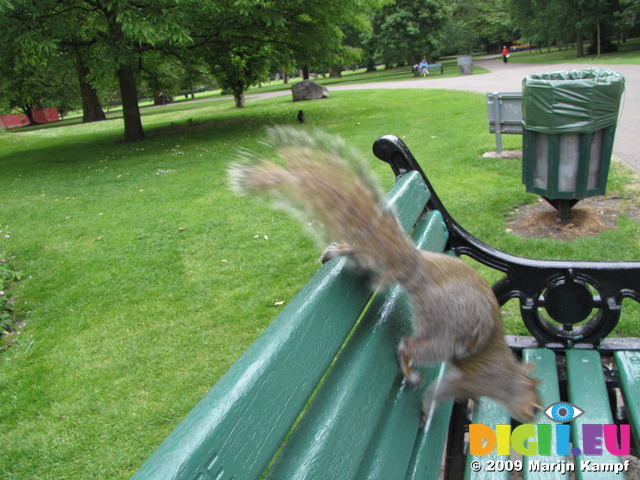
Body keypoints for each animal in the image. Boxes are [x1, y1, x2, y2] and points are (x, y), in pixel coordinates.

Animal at [229, 126, 540, 424]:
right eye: (535, 406)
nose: (535, 417)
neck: (507, 377)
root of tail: (421, 268)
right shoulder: (476, 379)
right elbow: (442, 391)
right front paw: (427, 411)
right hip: (444, 333)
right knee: (407, 347)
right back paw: (411, 373)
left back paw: (340, 249)